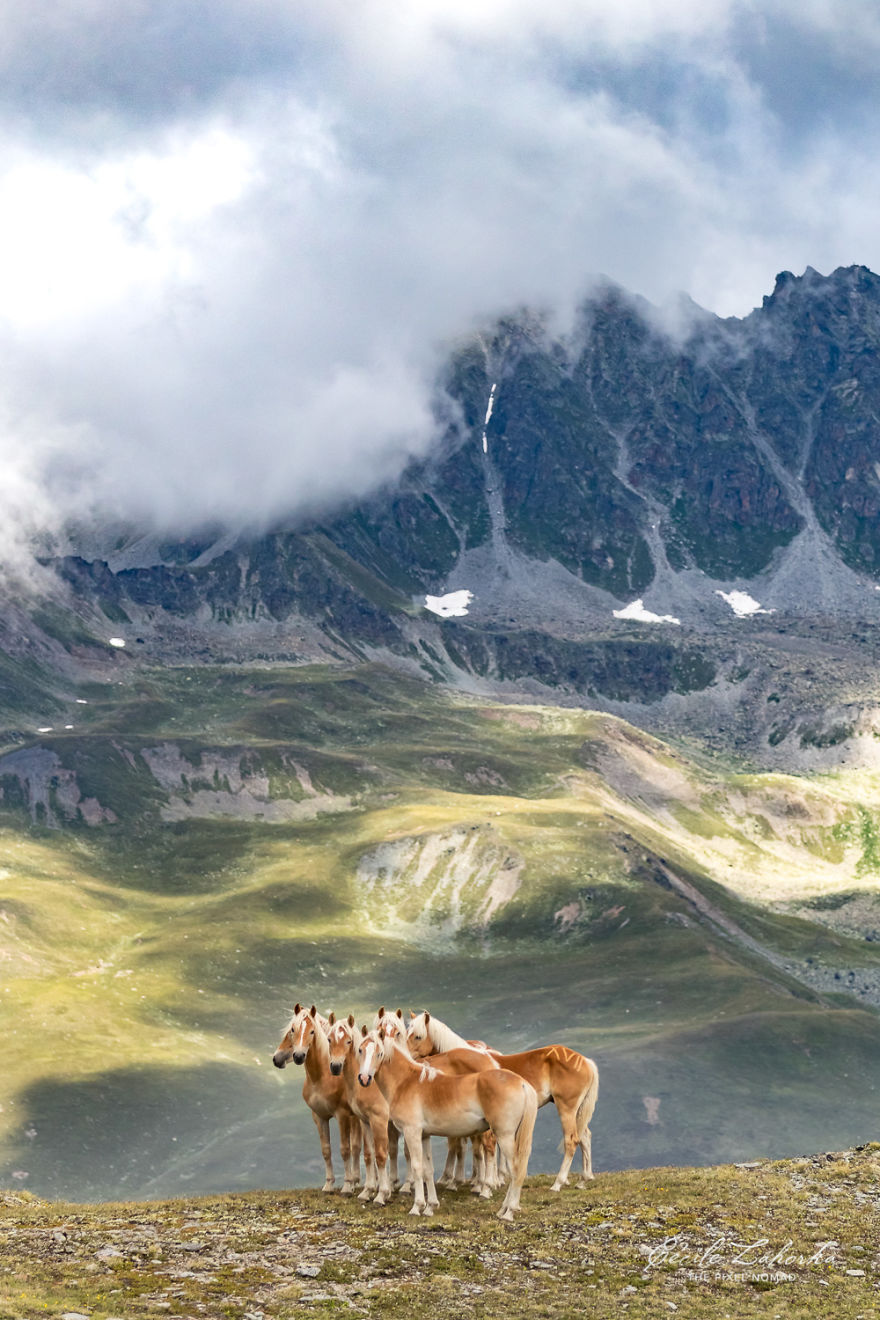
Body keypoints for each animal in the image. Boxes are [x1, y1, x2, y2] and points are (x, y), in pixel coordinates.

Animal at [272, 1003, 362, 1194]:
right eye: (293, 1029)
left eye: (312, 1031)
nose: (298, 1056)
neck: (321, 1076)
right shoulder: (319, 1116)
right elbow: (326, 1150)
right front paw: (329, 1185)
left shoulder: (342, 1115)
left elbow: (345, 1150)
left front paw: (347, 1186)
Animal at [356, 1026, 537, 1220]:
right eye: (360, 1050)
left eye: (379, 1053)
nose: (364, 1078)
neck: (405, 1082)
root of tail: (521, 1083)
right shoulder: (424, 1135)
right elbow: (427, 1170)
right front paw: (430, 1207)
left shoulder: (412, 1132)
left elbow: (416, 1167)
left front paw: (417, 1207)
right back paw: (503, 1209)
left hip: (505, 1136)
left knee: (516, 1169)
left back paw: (509, 1211)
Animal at [407, 1010, 598, 1191]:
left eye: (418, 1036)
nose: (406, 1057)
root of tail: (585, 1061)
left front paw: (485, 1183)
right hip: (577, 1111)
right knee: (585, 1136)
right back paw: (584, 1179)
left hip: (566, 1108)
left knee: (572, 1140)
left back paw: (558, 1183)